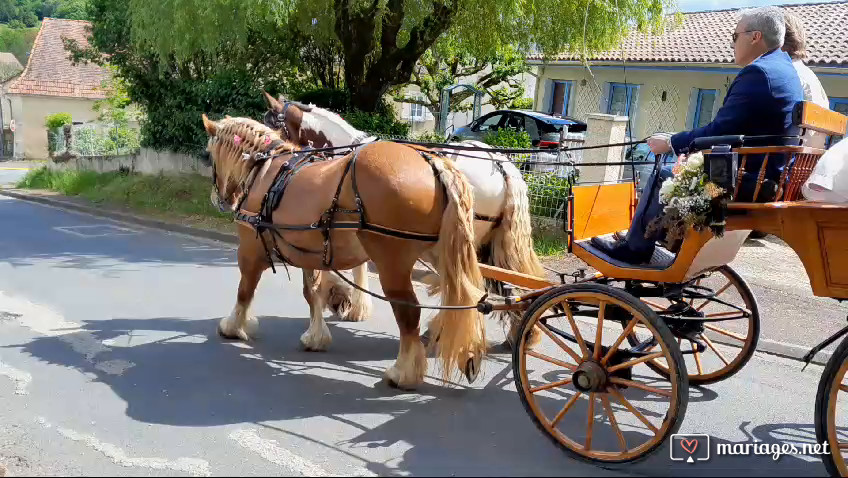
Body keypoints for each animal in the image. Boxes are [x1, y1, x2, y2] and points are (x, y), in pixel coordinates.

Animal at [199, 114, 486, 390]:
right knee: (466, 295)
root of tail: (431, 160)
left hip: (392, 263)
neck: (266, 171)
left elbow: (245, 290)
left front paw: (233, 326)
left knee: (409, 312)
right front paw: (316, 336)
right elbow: (312, 292)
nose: (218, 199)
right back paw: (464, 351)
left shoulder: (250, 249)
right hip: (442, 254)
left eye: (208, 154)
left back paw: (404, 373)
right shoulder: (306, 251)